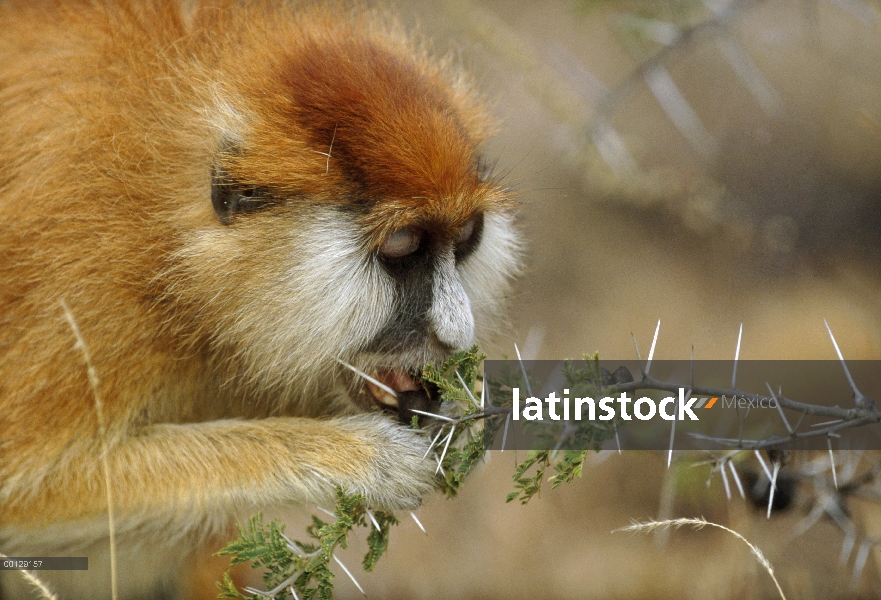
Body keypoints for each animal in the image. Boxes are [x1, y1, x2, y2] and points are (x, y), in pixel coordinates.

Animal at [0, 2, 520, 596]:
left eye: (467, 237)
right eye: (403, 247)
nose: (455, 333)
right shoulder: (93, 288)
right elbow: (24, 495)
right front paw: (356, 459)